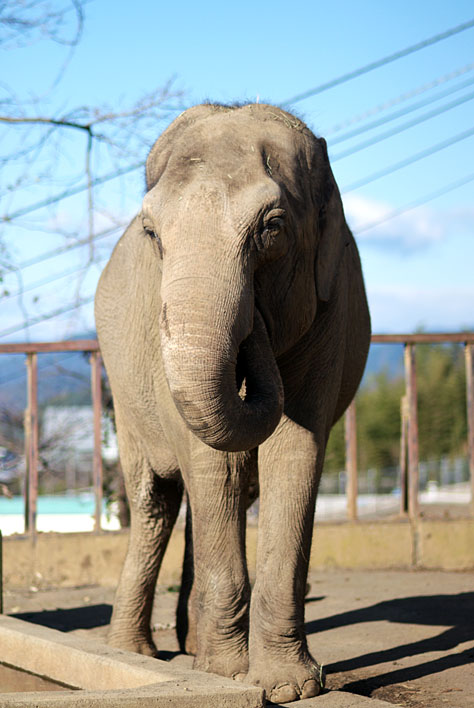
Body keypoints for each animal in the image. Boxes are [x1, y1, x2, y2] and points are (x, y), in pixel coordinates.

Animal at [95, 103, 370, 704]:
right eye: (152, 234)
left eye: (272, 228)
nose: (255, 328)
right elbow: (211, 459)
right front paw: (224, 676)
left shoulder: (329, 309)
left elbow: (296, 448)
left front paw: (287, 687)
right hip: (123, 393)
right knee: (156, 501)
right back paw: (134, 653)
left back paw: (192, 646)